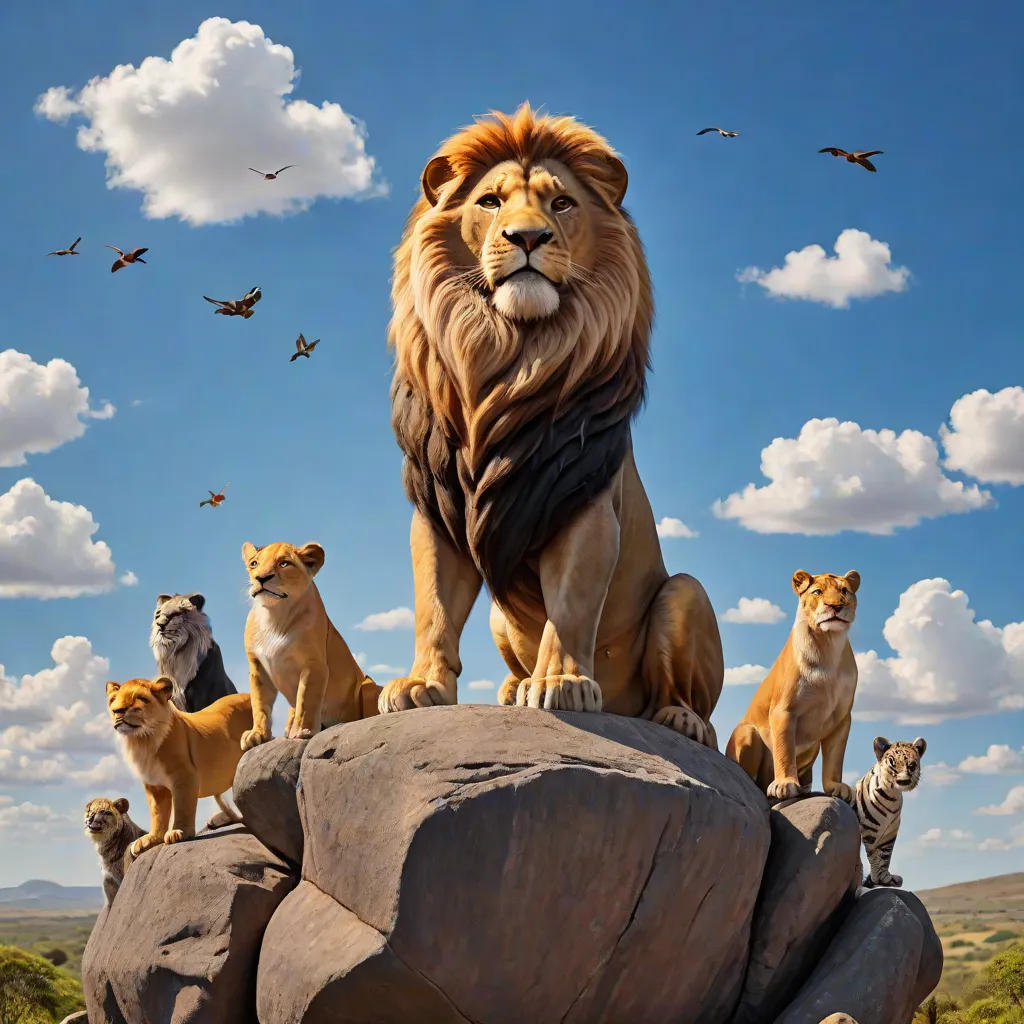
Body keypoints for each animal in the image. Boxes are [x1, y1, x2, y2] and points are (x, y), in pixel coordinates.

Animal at [106, 676, 251, 855]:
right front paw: (151, 839)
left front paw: (179, 832)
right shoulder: (155, 786)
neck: (142, 741)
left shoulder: (184, 776)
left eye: (141, 698)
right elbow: (157, 813)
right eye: (113, 700)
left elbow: (183, 805)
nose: (118, 711)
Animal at [240, 541, 380, 749]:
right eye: (254, 563)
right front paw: (257, 734)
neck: (274, 616)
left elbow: (306, 699)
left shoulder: (314, 665)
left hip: (368, 686)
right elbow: (259, 704)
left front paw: (302, 731)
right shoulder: (258, 669)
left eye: (284, 563)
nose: (261, 578)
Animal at [384, 103, 724, 744]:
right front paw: (420, 685)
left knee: (688, 699)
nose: (527, 237)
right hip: (499, 616)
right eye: (491, 201)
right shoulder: (440, 509)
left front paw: (562, 684)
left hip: (685, 595)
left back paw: (676, 717)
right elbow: (433, 607)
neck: (509, 361)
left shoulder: (584, 504)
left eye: (561, 203)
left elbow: (568, 605)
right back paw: (510, 687)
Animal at [726, 570, 861, 800]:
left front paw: (836, 786)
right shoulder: (783, 711)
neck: (828, 646)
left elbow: (835, 759)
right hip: (747, 732)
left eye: (844, 591)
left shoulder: (842, 718)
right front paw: (785, 784)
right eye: (817, 592)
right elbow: (784, 749)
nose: (835, 606)